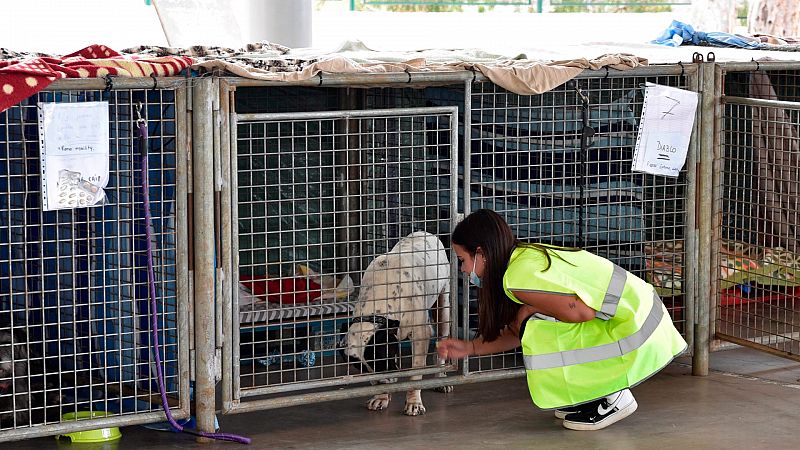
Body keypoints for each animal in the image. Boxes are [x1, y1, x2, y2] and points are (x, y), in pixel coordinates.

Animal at [342, 230, 454, 416]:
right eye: (366, 370)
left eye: (381, 361)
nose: (384, 381)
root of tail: (424, 232)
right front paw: (381, 397)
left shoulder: (420, 335)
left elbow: (416, 372)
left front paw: (414, 402)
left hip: (443, 308)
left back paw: (440, 378)